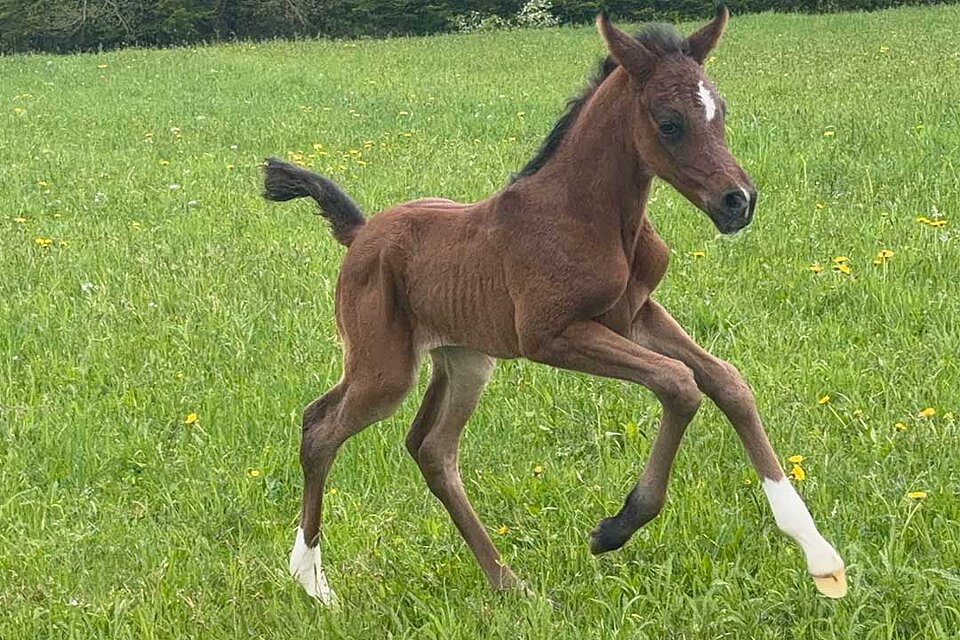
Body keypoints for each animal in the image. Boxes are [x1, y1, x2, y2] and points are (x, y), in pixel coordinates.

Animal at [262, 6, 847, 605]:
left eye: (720, 111)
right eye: (669, 122)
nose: (738, 202)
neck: (591, 216)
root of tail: (359, 233)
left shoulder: (634, 315)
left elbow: (727, 381)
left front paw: (820, 554)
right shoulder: (551, 335)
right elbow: (679, 383)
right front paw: (616, 527)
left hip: (466, 359)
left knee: (432, 449)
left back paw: (507, 584)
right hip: (384, 368)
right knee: (320, 427)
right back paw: (312, 579)